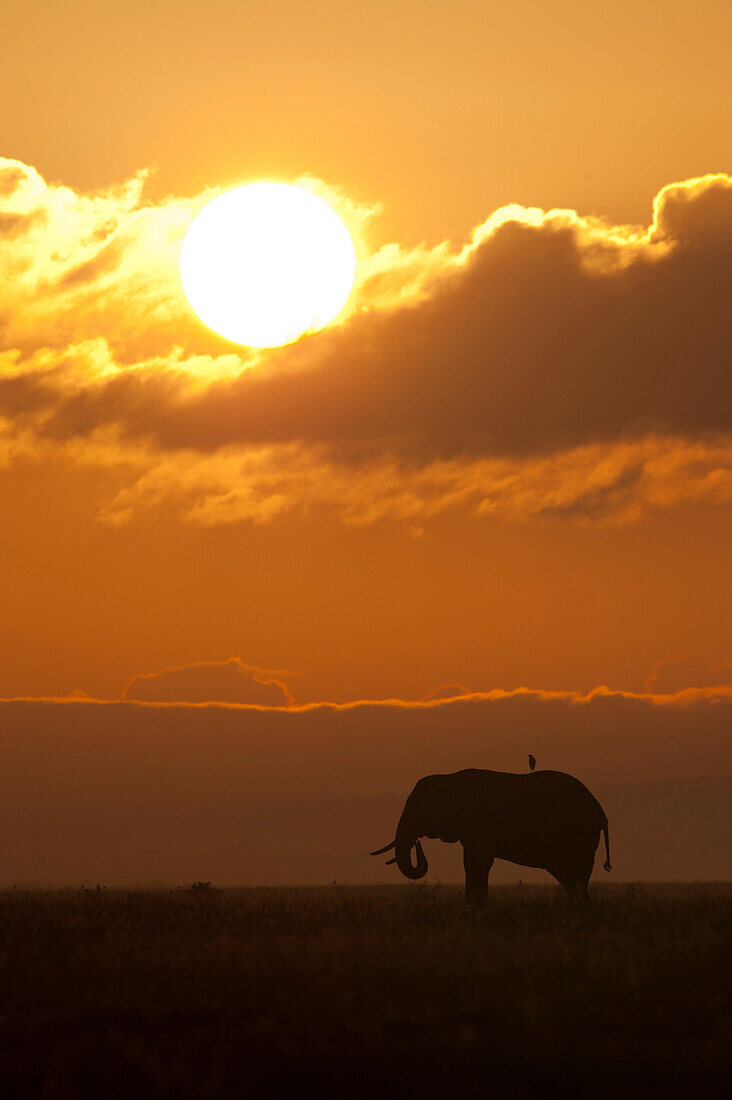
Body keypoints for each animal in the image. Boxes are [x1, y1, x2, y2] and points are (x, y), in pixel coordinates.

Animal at [372, 770, 612, 906]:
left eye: (419, 809)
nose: (418, 842)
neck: (449, 779)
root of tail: (601, 812)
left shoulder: (480, 826)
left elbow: (476, 862)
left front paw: (474, 906)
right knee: (572, 878)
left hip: (579, 835)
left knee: (575, 875)